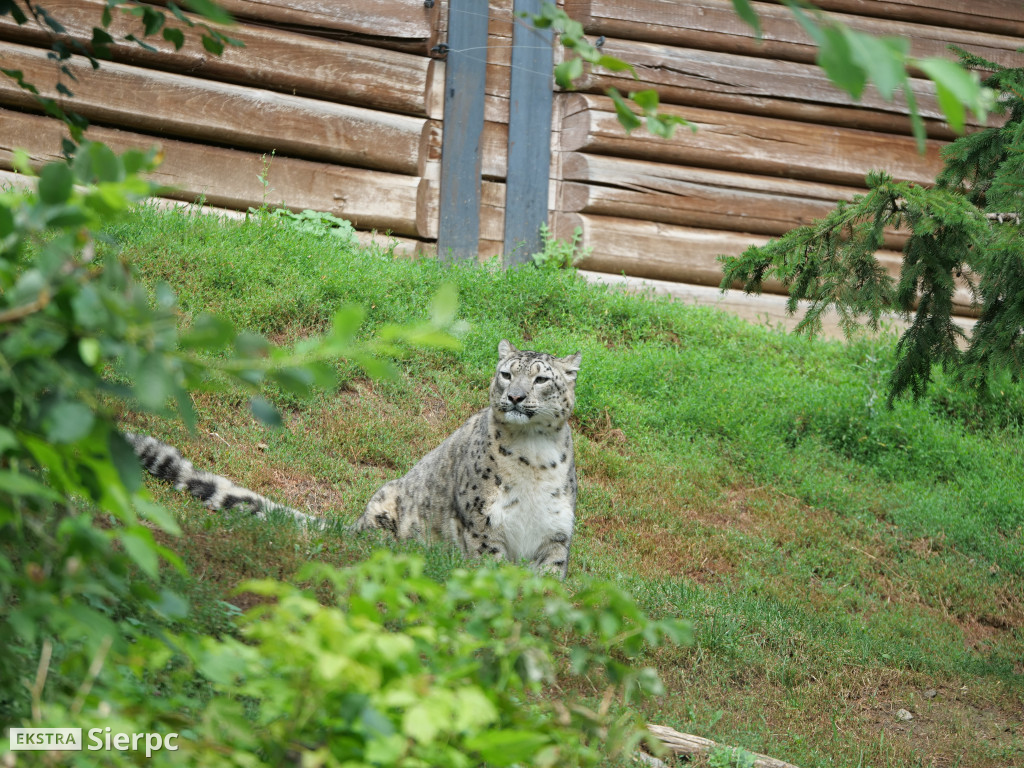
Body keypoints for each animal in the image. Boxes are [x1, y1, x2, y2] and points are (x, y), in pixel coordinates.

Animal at [123, 339, 581, 581]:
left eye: (542, 378)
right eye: (506, 374)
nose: (515, 397)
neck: (533, 457)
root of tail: (357, 522)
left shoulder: (555, 534)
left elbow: (549, 580)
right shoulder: (484, 527)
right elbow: (494, 573)